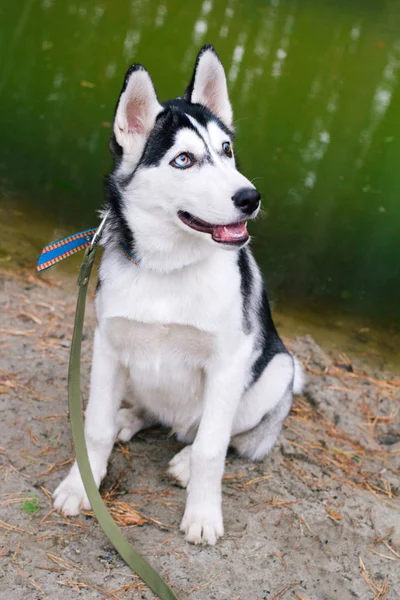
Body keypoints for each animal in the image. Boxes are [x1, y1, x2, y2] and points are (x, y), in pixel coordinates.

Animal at [54, 44, 304, 548]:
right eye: (184, 160)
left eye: (227, 150)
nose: (250, 197)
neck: (167, 269)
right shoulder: (108, 346)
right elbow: (94, 427)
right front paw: (81, 484)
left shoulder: (228, 361)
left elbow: (212, 447)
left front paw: (203, 514)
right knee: (150, 413)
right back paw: (130, 418)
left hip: (276, 371)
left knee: (220, 434)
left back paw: (186, 458)